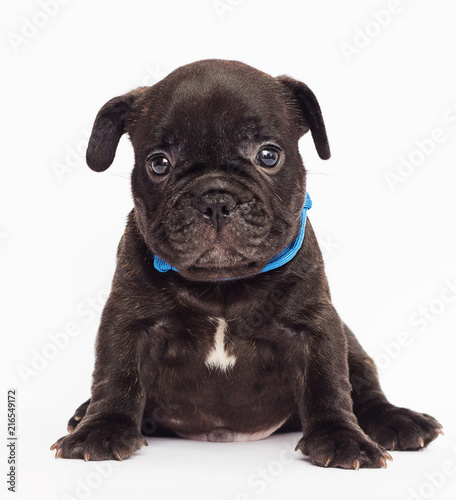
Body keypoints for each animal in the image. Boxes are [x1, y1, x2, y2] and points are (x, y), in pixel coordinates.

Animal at [51, 59, 444, 468]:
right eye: (159, 164)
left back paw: (398, 420)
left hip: (352, 343)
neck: (223, 285)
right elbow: (116, 373)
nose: (215, 199)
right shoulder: (128, 318)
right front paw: (102, 429)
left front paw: (341, 437)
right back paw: (84, 413)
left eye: (268, 155)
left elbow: (328, 381)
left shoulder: (316, 324)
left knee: (365, 386)